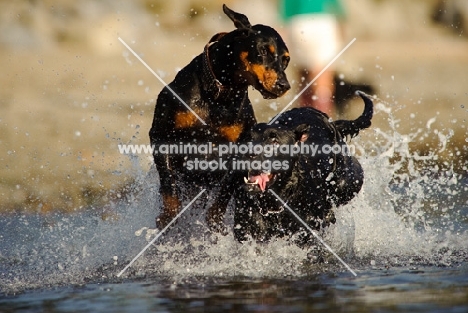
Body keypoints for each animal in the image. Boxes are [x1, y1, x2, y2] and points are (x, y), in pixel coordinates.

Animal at [149, 3, 288, 228]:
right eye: (263, 51)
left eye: (286, 60)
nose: (284, 85)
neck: (219, 94)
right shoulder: (160, 134)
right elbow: (168, 181)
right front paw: (169, 215)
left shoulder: (240, 148)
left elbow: (225, 190)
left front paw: (215, 219)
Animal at [234, 91, 372, 243]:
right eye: (247, 138)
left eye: (274, 140)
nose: (248, 152)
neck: (273, 205)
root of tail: (330, 122)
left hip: (349, 183)